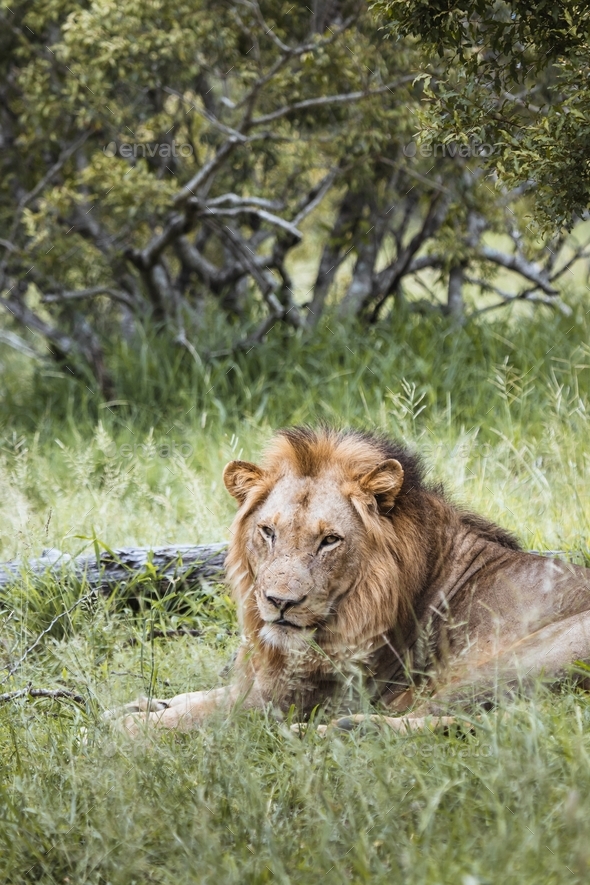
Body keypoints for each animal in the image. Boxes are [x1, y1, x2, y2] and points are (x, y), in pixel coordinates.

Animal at [122, 426, 590, 732]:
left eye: (330, 540)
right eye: (268, 532)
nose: (280, 602)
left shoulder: (290, 699)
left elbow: (196, 716)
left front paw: (125, 732)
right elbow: (201, 696)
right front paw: (138, 705)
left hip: (514, 661)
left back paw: (342, 730)